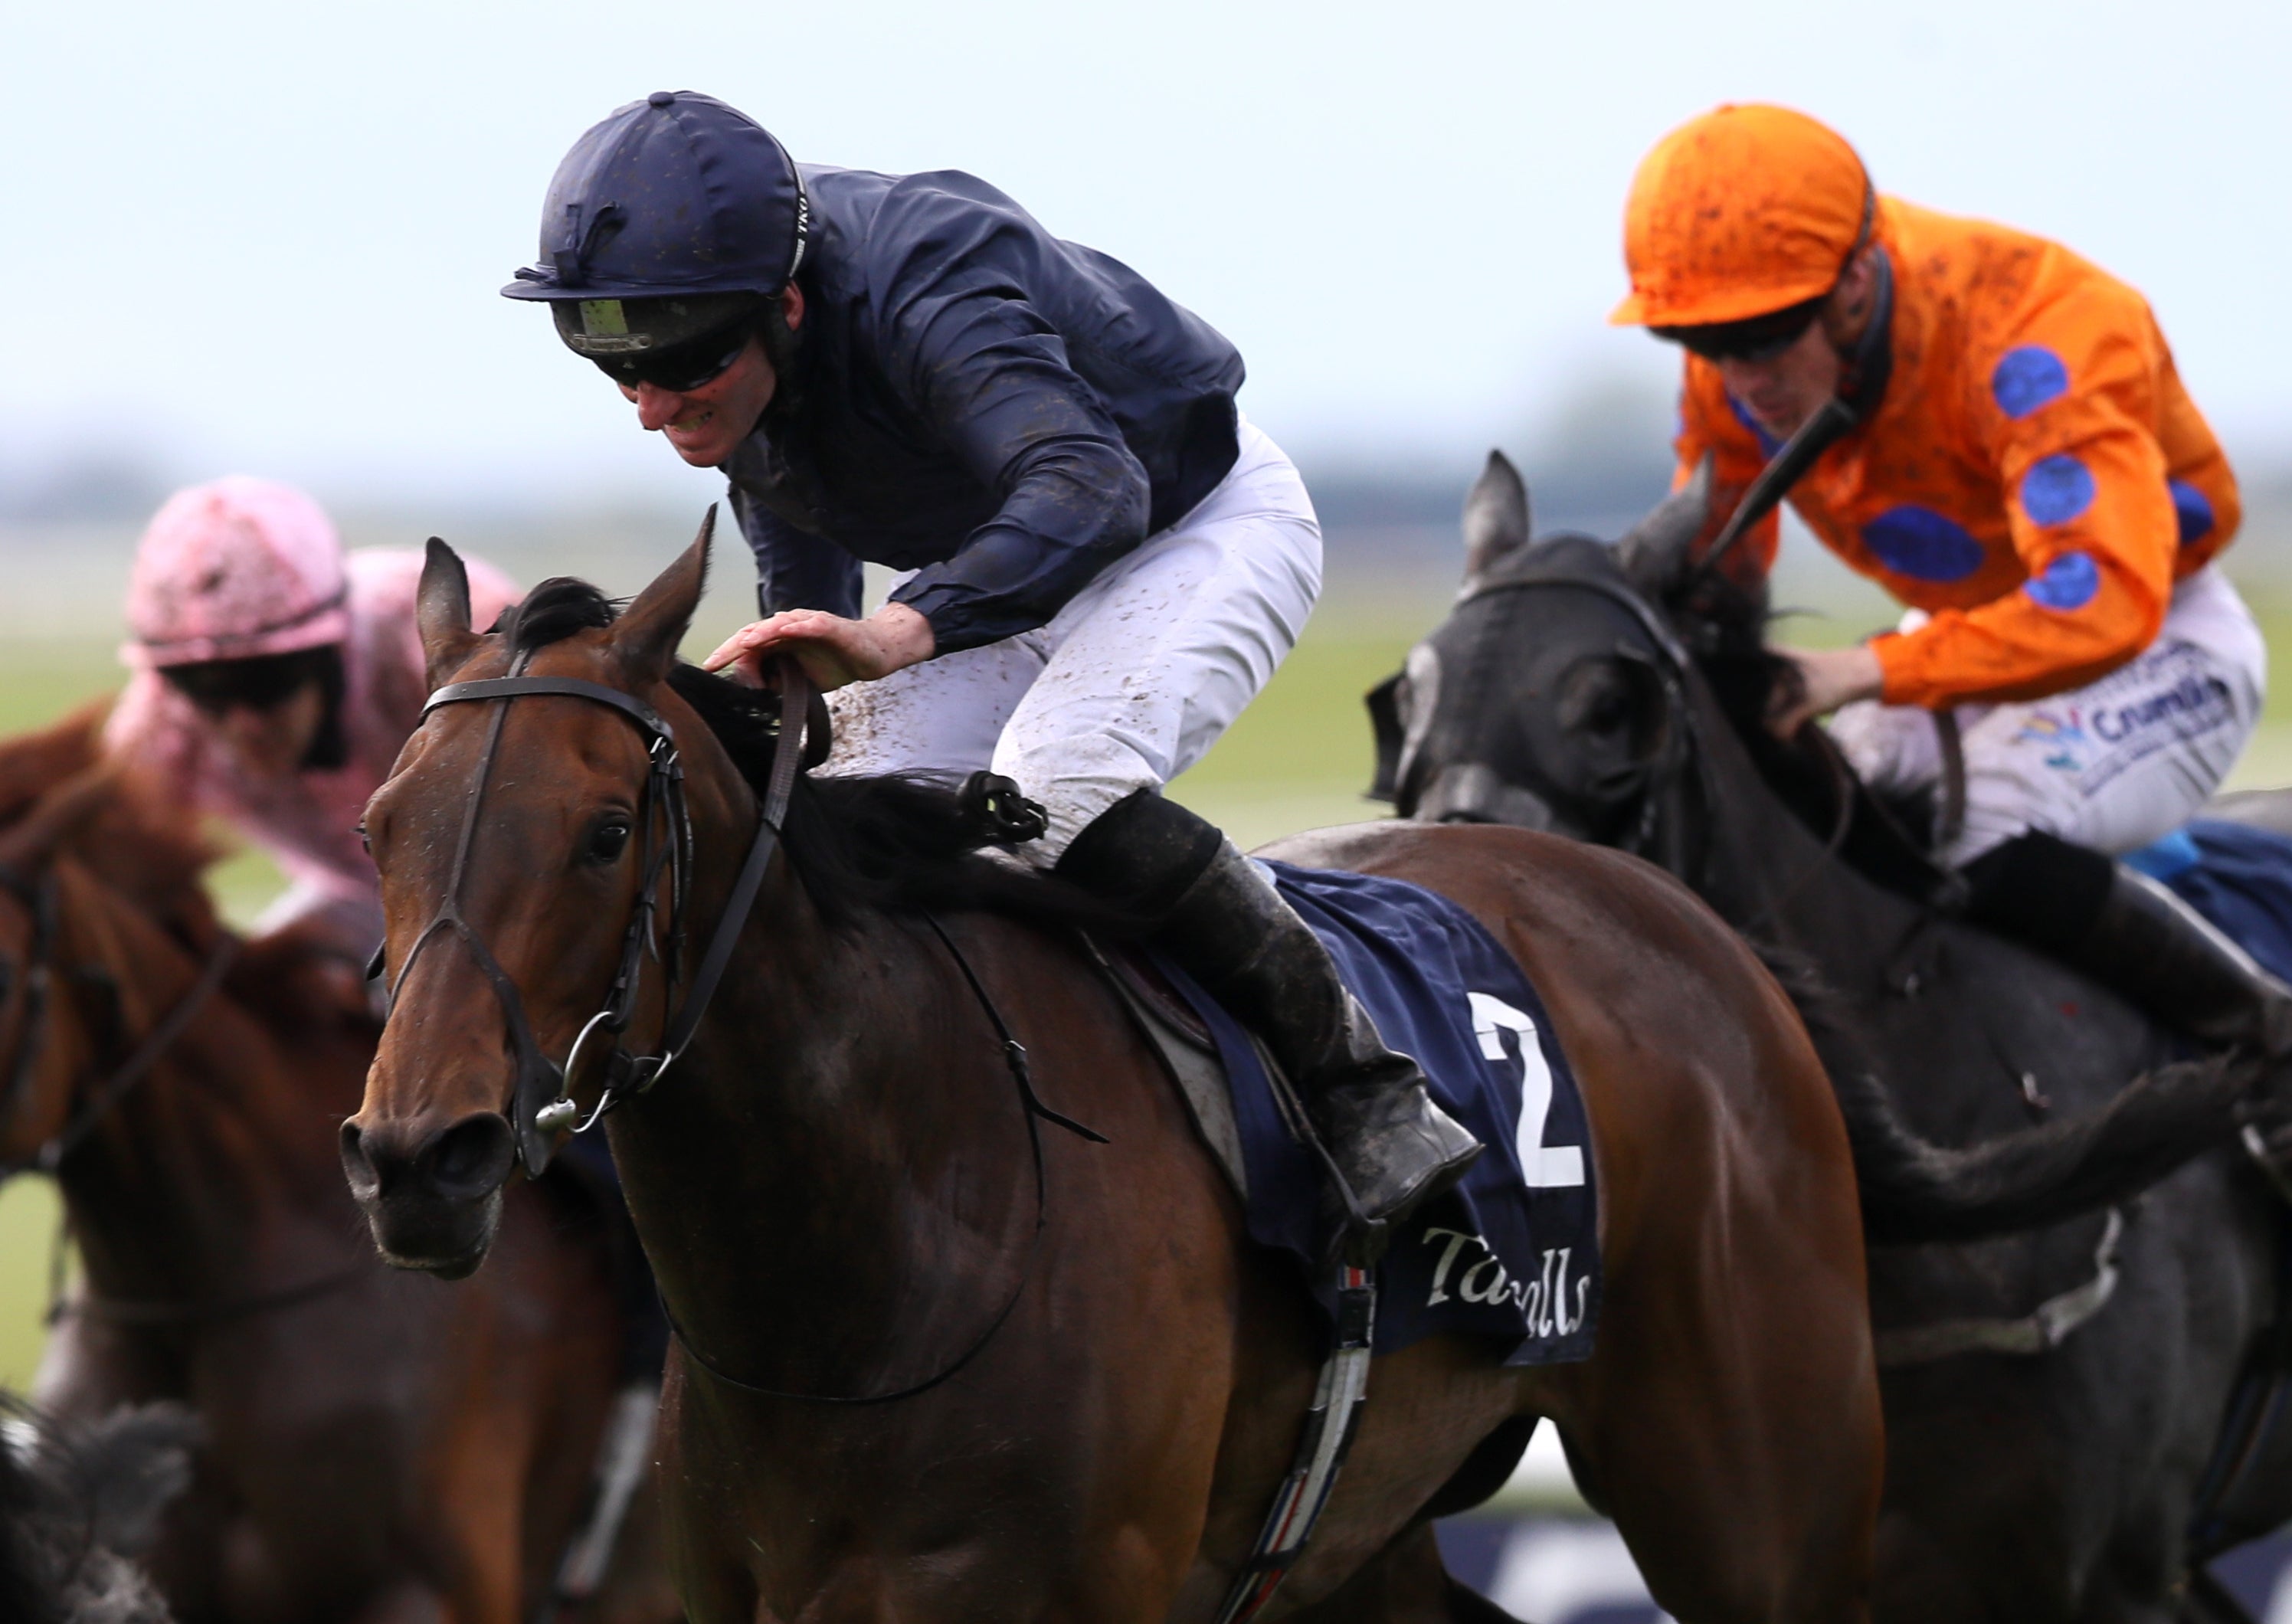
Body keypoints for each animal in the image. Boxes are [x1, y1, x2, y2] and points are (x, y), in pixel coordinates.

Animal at [343, 526, 2163, 1613]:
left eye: (600, 833)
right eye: (377, 825)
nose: (419, 1156)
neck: (885, 1251)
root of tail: (1693, 923)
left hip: (1767, 1497)